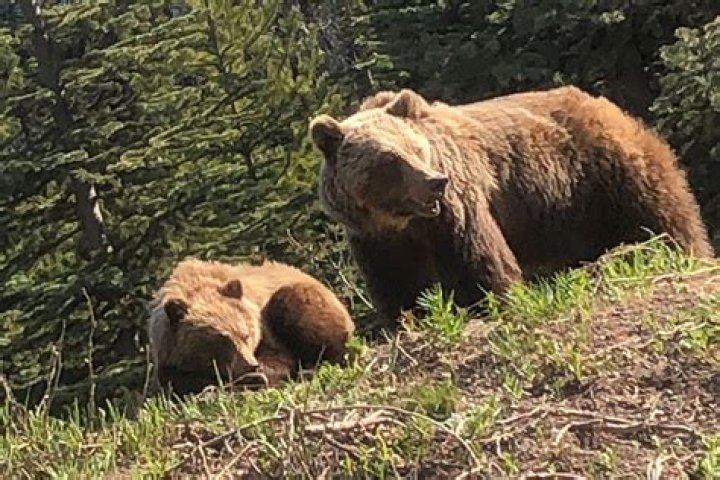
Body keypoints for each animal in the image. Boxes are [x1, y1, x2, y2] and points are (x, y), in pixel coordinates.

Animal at [147, 257, 355, 395]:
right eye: (223, 340)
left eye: (245, 334)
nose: (251, 365)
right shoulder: (166, 355)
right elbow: (176, 382)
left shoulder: (264, 326)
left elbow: (278, 358)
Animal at [309, 85, 714, 327]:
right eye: (391, 159)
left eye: (418, 148)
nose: (436, 182)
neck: (401, 221)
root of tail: (610, 107)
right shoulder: (376, 239)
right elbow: (399, 285)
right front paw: (406, 319)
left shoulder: (458, 211)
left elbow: (481, 262)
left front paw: (494, 302)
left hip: (611, 176)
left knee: (665, 219)